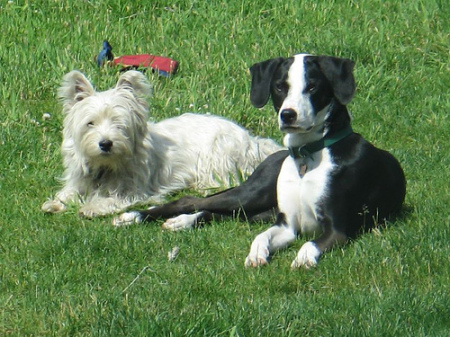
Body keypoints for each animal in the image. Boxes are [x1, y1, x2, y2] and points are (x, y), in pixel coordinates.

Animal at [42, 71, 282, 218]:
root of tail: (252, 140)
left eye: (119, 124)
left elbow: (114, 199)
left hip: (218, 155)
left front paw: (93, 206)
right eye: (90, 123)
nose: (106, 143)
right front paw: (56, 202)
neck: (106, 166)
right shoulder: (79, 179)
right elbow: (68, 192)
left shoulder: (135, 190)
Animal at [114, 53, 406, 270]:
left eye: (312, 86)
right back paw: (135, 216)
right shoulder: (285, 224)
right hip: (253, 193)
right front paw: (257, 253)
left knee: (216, 213)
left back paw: (182, 221)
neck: (307, 158)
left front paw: (302, 258)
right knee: (193, 201)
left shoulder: (335, 229)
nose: (288, 115)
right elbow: (261, 237)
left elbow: (309, 243)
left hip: (258, 208)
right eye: (280, 87)